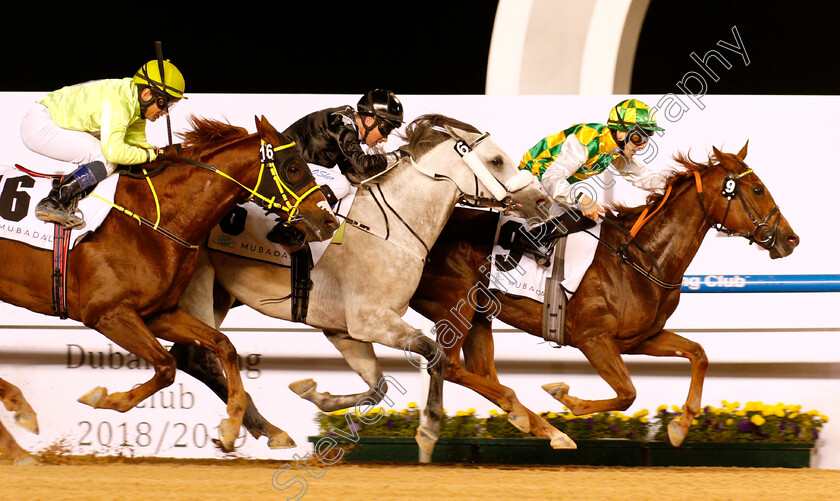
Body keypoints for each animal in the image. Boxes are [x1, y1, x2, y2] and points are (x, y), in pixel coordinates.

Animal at [0, 115, 338, 462]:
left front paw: (232, 425)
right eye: (293, 168)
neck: (152, 220)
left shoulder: (157, 313)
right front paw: (103, 398)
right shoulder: (108, 314)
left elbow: (223, 345)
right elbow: (166, 367)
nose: (329, 221)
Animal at [174, 140, 796, 450]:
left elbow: (698, 354)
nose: (789, 239)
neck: (640, 260)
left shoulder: (643, 336)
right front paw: (565, 398)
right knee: (457, 367)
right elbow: (624, 395)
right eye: (756, 190)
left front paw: (681, 425)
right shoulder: (593, 337)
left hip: (476, 315)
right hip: (456, 306)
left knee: (470, 370)